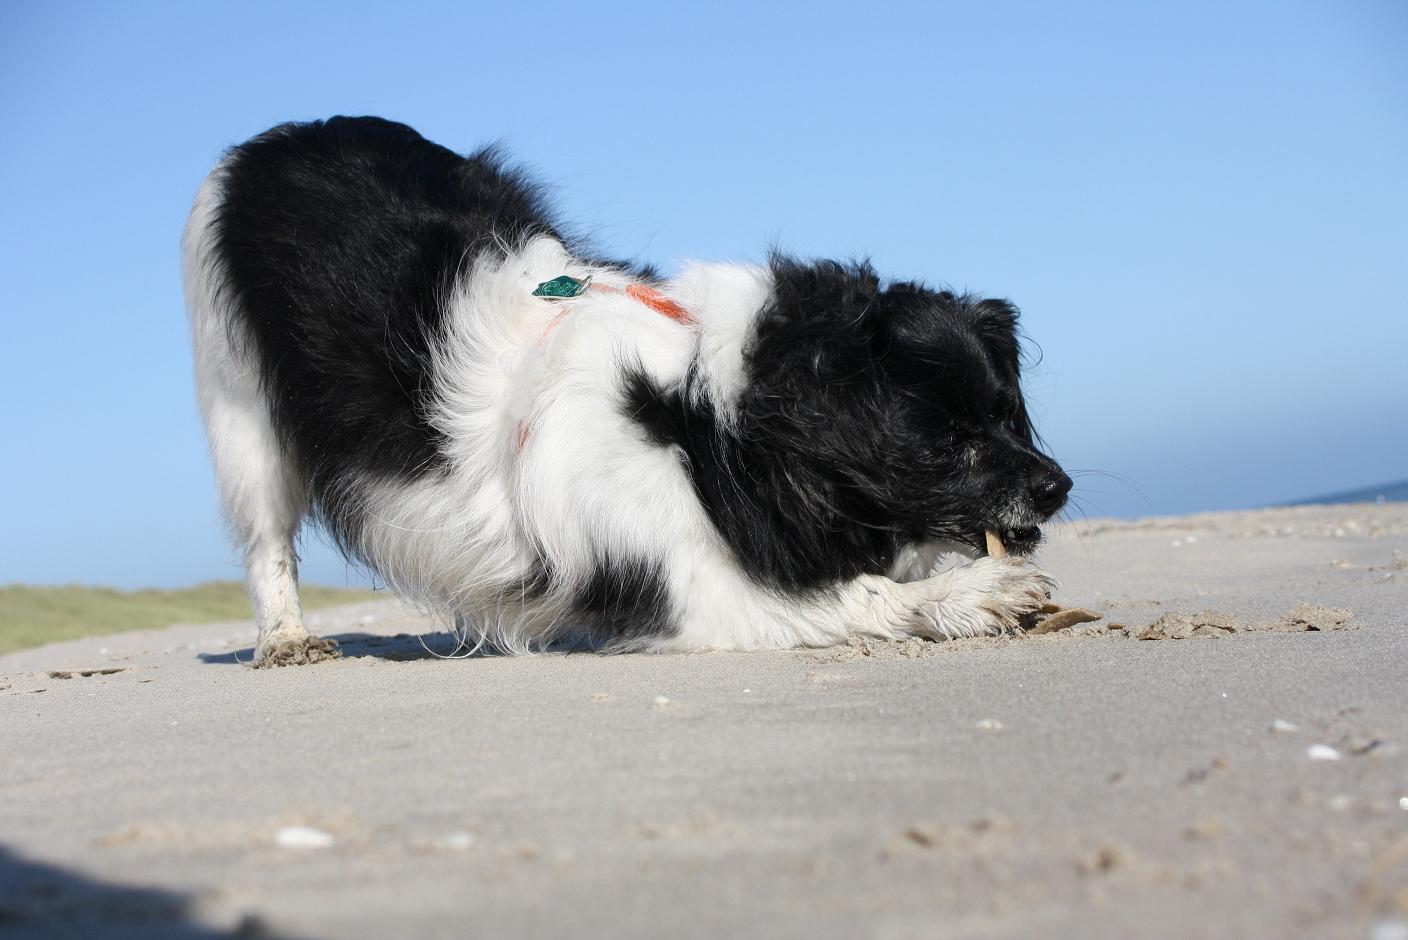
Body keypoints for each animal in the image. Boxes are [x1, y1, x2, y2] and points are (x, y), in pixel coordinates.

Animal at [184, 115, 1064, 667]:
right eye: (950, 440)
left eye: (1005, 415)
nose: (1058, 488)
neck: (702, 419)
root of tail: (281, 139)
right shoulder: (698, 588)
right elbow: (864, 595)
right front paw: (974, 595)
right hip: (241, 412)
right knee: (267, 540)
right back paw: (285, 640)